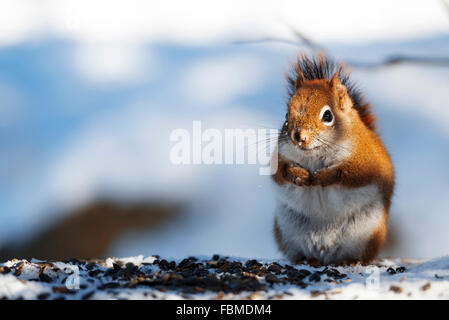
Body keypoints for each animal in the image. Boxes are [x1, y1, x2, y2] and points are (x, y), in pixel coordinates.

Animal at [270, 55, 392, 264]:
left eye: (327, 115)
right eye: (286, 115)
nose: (298, 136)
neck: (314, 154)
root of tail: (325, 253)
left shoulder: (367, 161)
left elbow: (349, 173)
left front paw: (322, 177)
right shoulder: (280, 155)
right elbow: (280, 172)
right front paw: (299, 174)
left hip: (366, 234)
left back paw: (350, 261)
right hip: (287, 232)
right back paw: (306, 259)